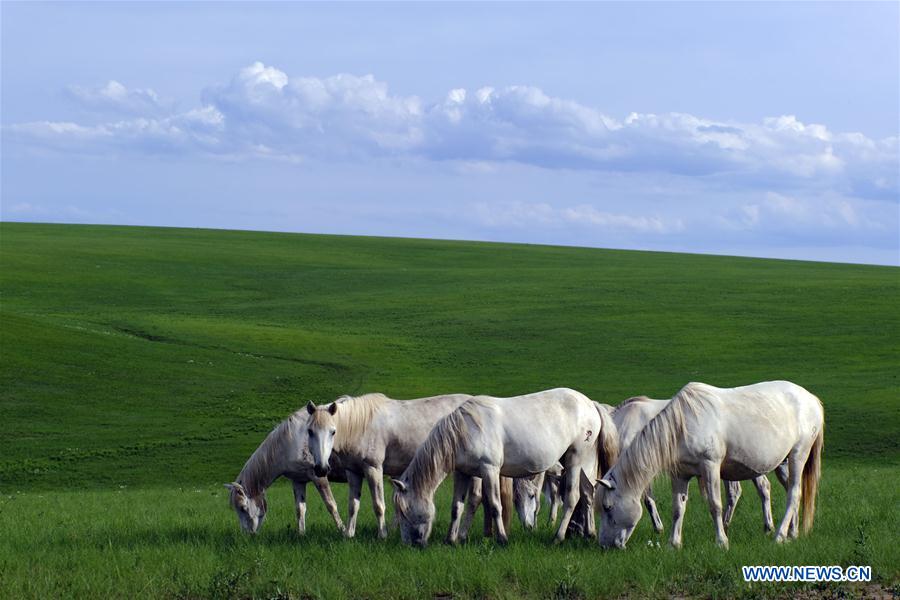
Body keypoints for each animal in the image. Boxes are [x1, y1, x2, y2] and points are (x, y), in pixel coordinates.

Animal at [227, 408, 346, 536]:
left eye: (243, 508)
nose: (246, 534)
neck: (291, 442)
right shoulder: (298, 480)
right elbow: (300, 509)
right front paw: (301, 534)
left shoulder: (319, 476)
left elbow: (331, 505)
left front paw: (344, 531)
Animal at [306, 394, 482, 540]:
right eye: (310, 431)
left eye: (333, 431)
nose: (321, 468)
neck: (360, 426)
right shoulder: (353, 472)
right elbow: (353, 505)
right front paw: (349, 534)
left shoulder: (373, 469)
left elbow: (378, 505)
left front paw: (382, 535)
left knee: (474, 499)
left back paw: (462, 535)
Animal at [394, 386, 620, 548]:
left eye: (405, 511)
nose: (410, 544)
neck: (466, 429)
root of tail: (590, 404)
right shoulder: (462, 473)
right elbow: (456, 507)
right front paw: (451, 540)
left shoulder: (490, 470)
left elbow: (495, 505)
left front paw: (502, 539)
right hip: (582, 463)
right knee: (588, 493)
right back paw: (589, 533)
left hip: (575, 459)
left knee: (572, 498)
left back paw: (558, 537)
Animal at [596, 384, 824, 548]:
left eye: (608, 508)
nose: (604, 545)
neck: (682, 425)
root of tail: (812, 399)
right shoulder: (680, 474)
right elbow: (678, 508)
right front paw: (673, 544)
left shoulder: (710, 467)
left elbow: (715, 505)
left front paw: (721, 542)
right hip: (782, 464)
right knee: (791, 493)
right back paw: (792, 533)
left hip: (798, 455)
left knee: (793, 493)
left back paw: (779, 535)